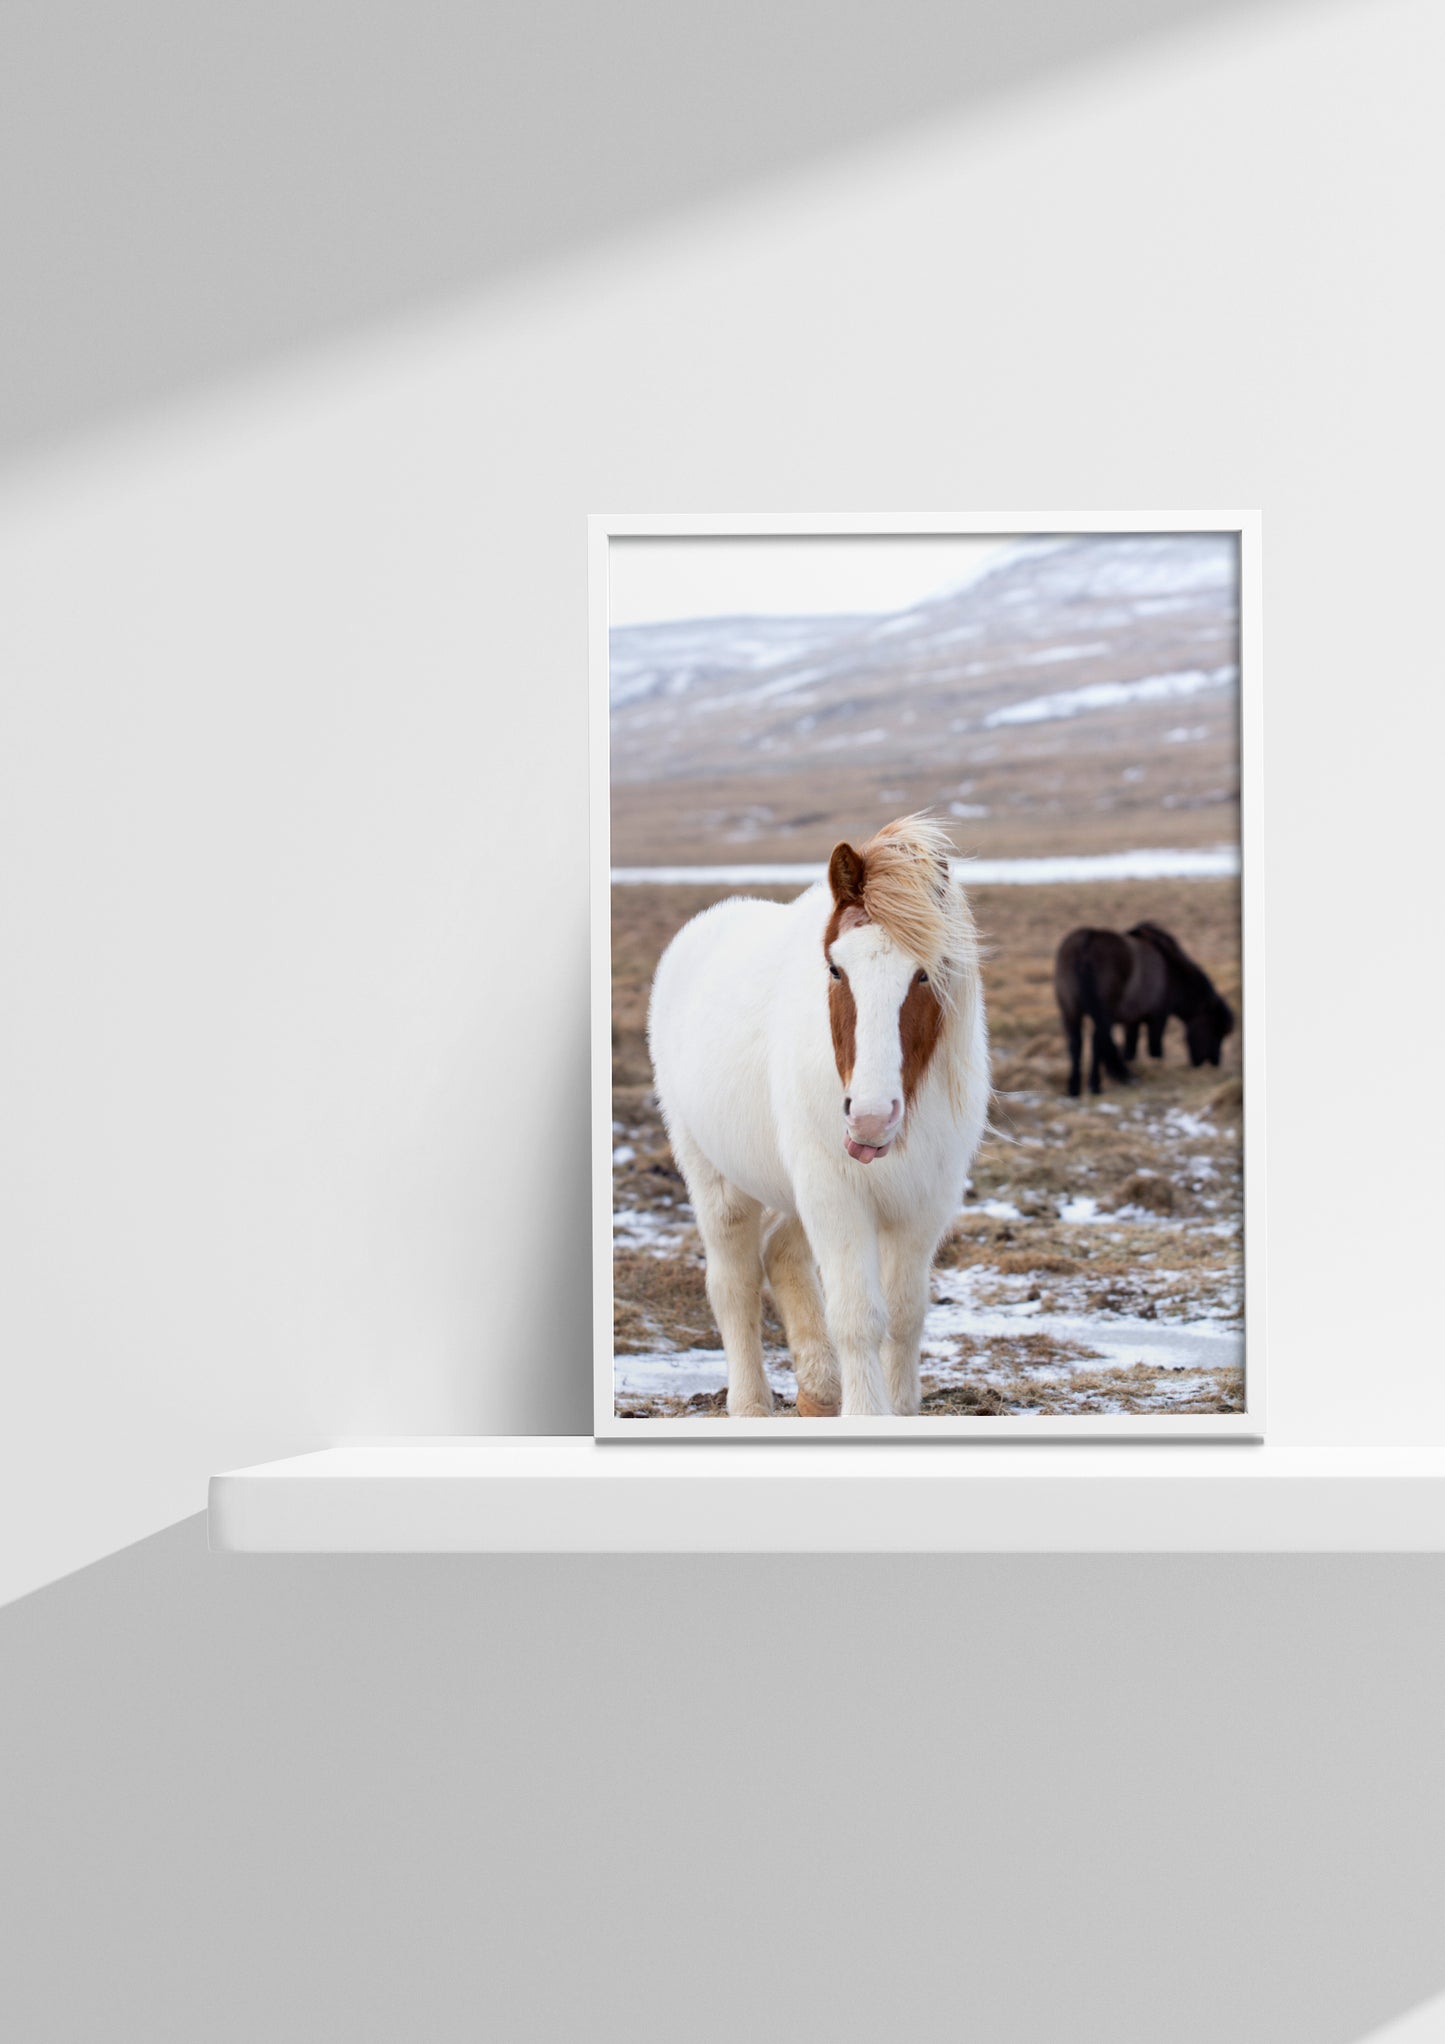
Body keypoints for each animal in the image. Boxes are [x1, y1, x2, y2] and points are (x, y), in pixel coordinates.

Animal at [648, 816, 990, 1419]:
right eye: (835, 968)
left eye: (924, 975)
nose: (871, 1118)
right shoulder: (837, 1196)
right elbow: (858, 1318)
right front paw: (867, 1413)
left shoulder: (924, 1204)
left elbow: (906, 1315)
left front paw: (899, 1408)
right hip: (718, 1183)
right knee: (734, 1284)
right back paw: (752, 1404)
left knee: (782, 1255)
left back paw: (819, 1389)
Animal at [1054, 919, 1235, 1097]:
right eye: (1215, 1030)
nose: (1213, 1063)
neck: (1170, 970)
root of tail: (1087, 942)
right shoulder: (1158, 1017)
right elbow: (1154, 1048)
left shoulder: (1131, 1021)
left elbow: (1130, 1049)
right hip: (1103, 1015)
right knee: (1097, 1042)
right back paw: (1095, 1086)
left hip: (1070, 1011)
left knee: (1076, 1043)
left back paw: (1074, 1089)